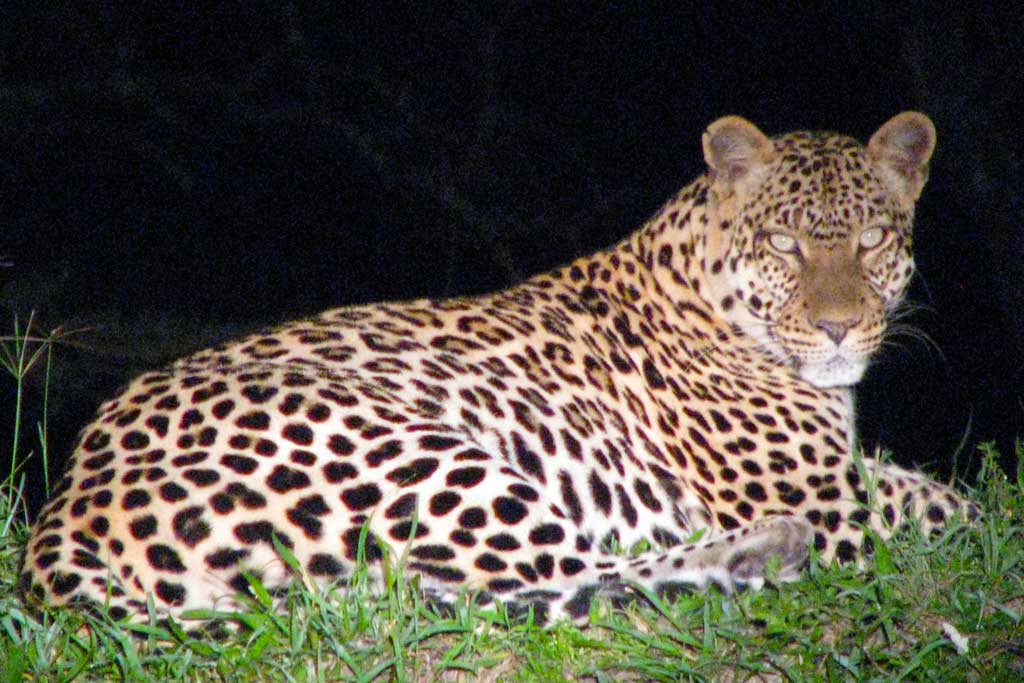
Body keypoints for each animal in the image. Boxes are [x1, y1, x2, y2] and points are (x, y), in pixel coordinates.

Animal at [19, 113, 970, 630]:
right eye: (783, 243)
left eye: (872, 239)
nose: (839, 327)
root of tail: (66, 502)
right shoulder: (833, 508)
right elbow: (937, 513)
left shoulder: (845, 470)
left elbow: (937, 490)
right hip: (427, 460)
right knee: (570, 575)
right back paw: (760, 554)